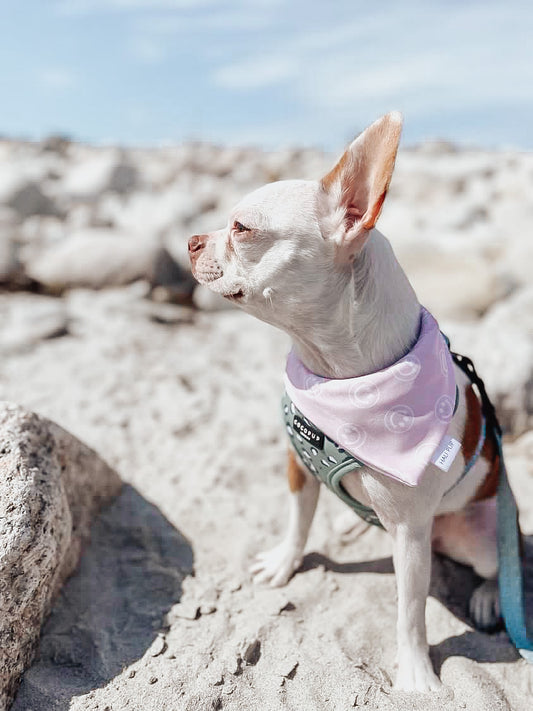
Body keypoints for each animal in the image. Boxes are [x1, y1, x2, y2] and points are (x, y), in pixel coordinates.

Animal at [186, 114, 498, 692]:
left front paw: (416, 671)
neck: (337, 375)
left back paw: (490, 596)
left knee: (501, 564)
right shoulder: (298, 464)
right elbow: (298, 520)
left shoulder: (410, 536)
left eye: (242, 228)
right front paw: (284, 562)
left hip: (481, 536)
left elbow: (411, 609)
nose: (192, 240)